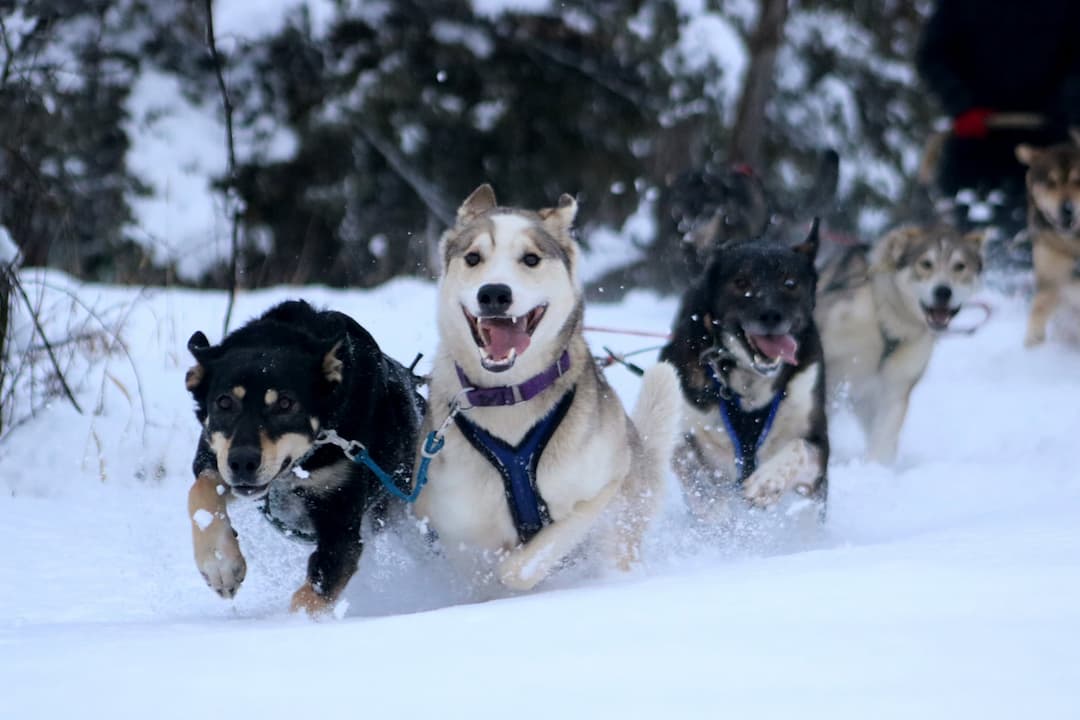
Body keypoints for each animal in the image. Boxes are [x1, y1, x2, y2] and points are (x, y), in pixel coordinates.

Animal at [185, 297, 421, 613]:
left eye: (286, 403)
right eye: (224, 402)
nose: (243, 462)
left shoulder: (340, 526)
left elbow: (312, 595)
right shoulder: (215, 461)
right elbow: (200, 491)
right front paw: (220, 563)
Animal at [410, 184, 673, 591]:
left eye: (531, 259)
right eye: (473, 258)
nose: (494, 293)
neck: (508, 396)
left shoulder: (604, 484)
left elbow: (522, 565)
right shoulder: (457, 529)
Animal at [656, 220, 825, 518]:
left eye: (790, 283)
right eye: (741, 282)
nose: (771, 315)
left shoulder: (817, 452)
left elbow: (800, 448)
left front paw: (767, 482)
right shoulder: (684, 421)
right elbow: (689, 460)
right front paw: (715, 508)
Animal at [816, 222, 989, 464]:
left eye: (960, 266)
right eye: (925, 263)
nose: (943, 291)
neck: (886, 318)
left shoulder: (896, 387)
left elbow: (885, 435)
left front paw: (876, 467)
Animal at [1010, 134, 1080, 349]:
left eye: (1078, 181)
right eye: (1050, 183)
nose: (1067, 209)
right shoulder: (1051, 276)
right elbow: (1040, 306)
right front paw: (1033, 339)